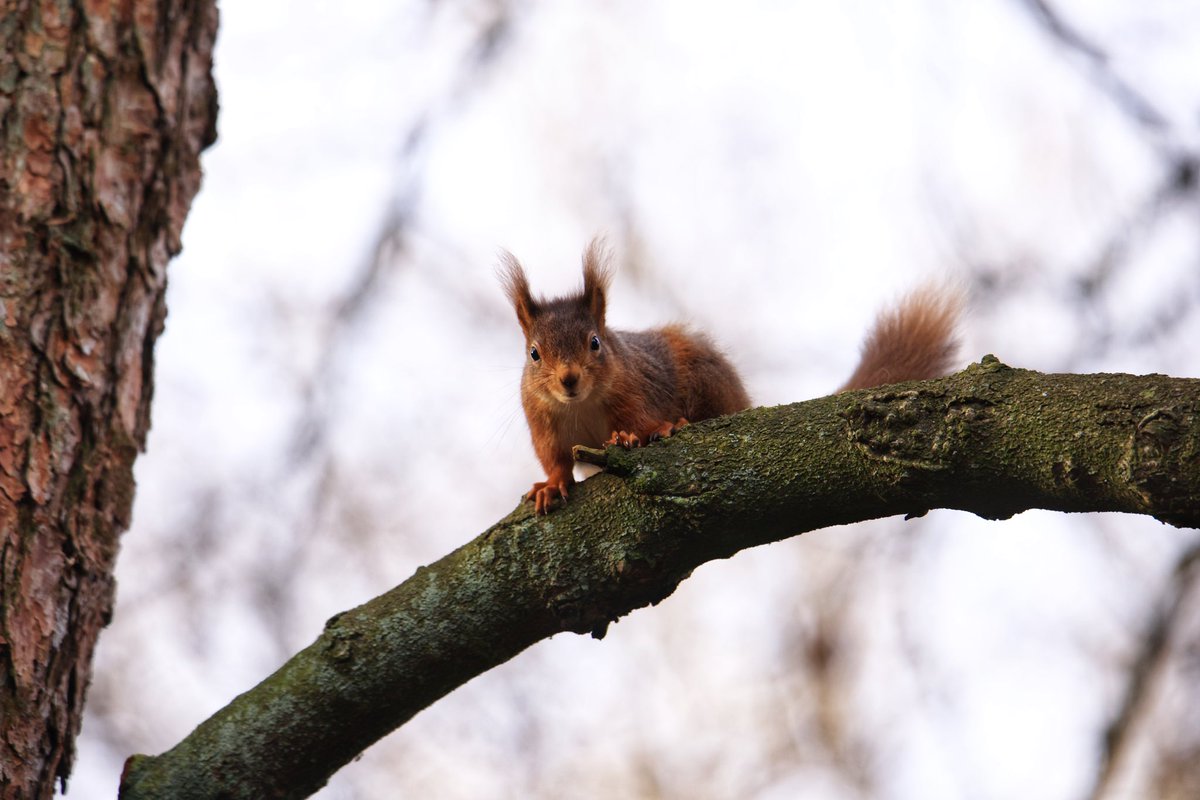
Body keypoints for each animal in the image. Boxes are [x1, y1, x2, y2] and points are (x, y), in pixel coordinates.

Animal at [501, 239, 960, 514]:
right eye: (534, 354)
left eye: (595, 343)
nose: (569, 379)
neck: (581, 406)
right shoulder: (543, 423)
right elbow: (555, 459)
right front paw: (550, 485)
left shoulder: (637, 390)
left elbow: (639, 419)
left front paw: (633, 436)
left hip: (704, 376)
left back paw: (675, 425)